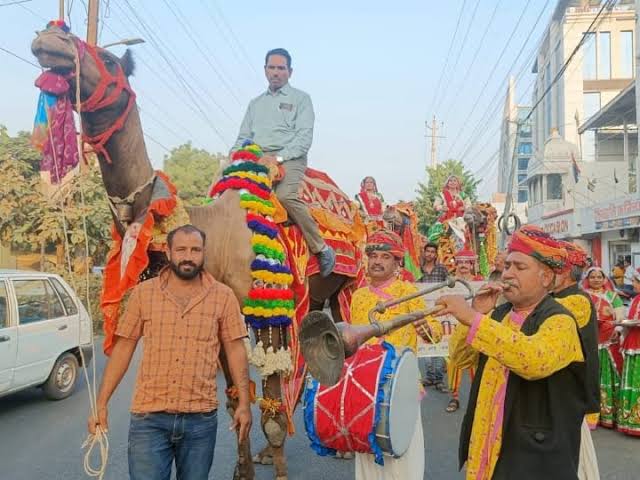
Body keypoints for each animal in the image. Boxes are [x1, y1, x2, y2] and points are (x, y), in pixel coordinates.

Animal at [32, 22, 364, 480]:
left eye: (112, 61)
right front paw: (246, 468)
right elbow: (237, 397)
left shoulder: (270, 308)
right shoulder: (230, 310)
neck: (217, 233)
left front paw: (276, 466)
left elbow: (269, 405)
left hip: (347, 285)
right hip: (313, 294)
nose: (52, 39)